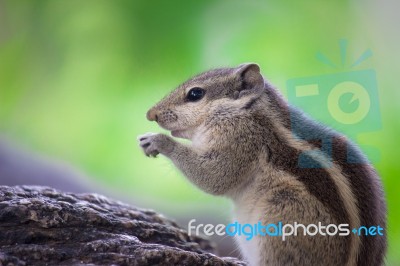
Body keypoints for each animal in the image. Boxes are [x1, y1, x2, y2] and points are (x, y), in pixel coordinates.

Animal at [137, 63, 384, 264]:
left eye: (195, 93)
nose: (150, 114)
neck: (250, 111)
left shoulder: (240, 139)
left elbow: (216, 176)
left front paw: (158, 140)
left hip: (282, 217)